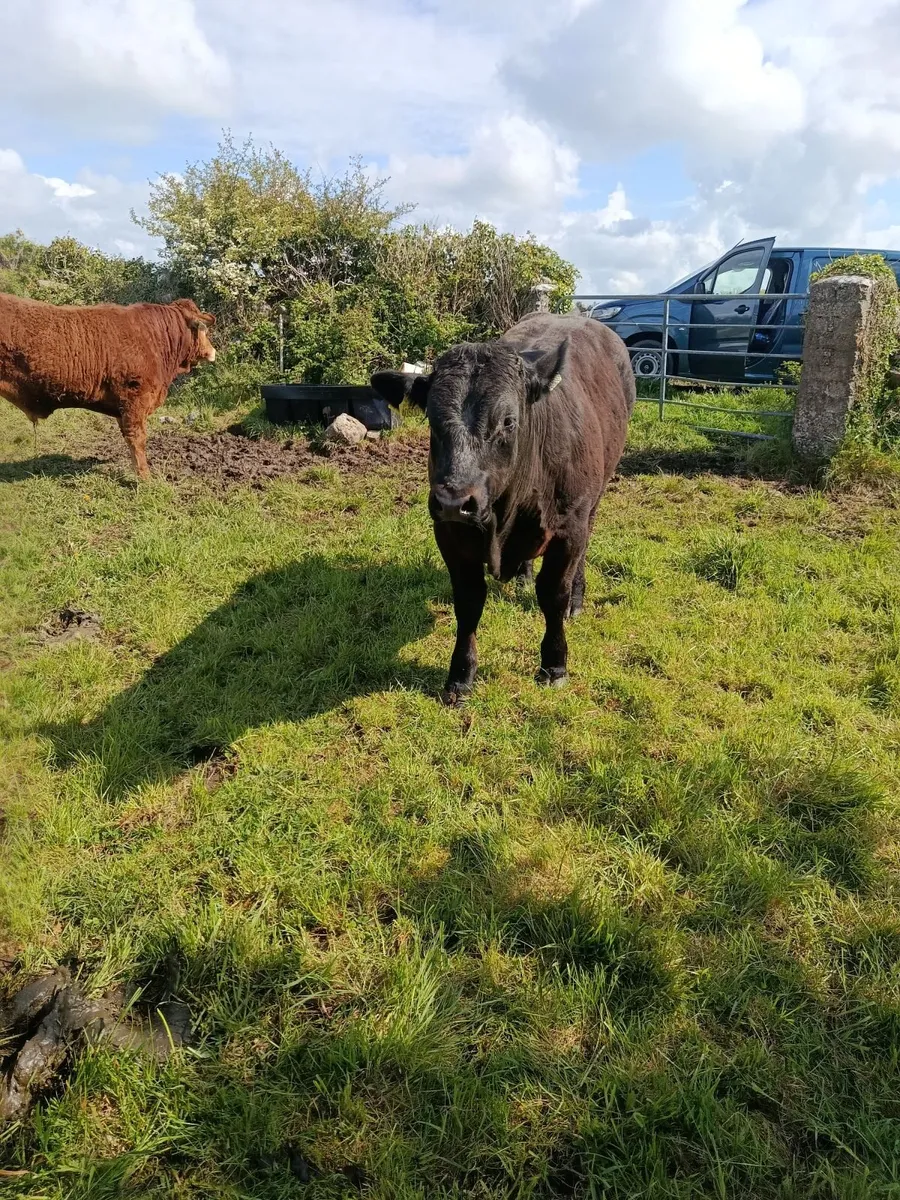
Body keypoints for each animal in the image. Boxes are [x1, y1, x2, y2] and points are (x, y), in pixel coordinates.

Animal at [0, 294, 216, 480]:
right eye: (203, 330)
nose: (213, 351)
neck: (154, 339)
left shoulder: (123, 407)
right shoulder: (136, 399)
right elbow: (137, 439)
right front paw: (145, 478)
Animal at [371, 313, 636, 704]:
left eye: (508, 421)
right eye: (432, 419)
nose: (454, 501)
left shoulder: (568, 529)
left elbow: (553, 595)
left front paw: (554, 664)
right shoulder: (450, 533)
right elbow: (468, 603)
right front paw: (460, 676)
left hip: (596, 495)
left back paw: (577, 597)